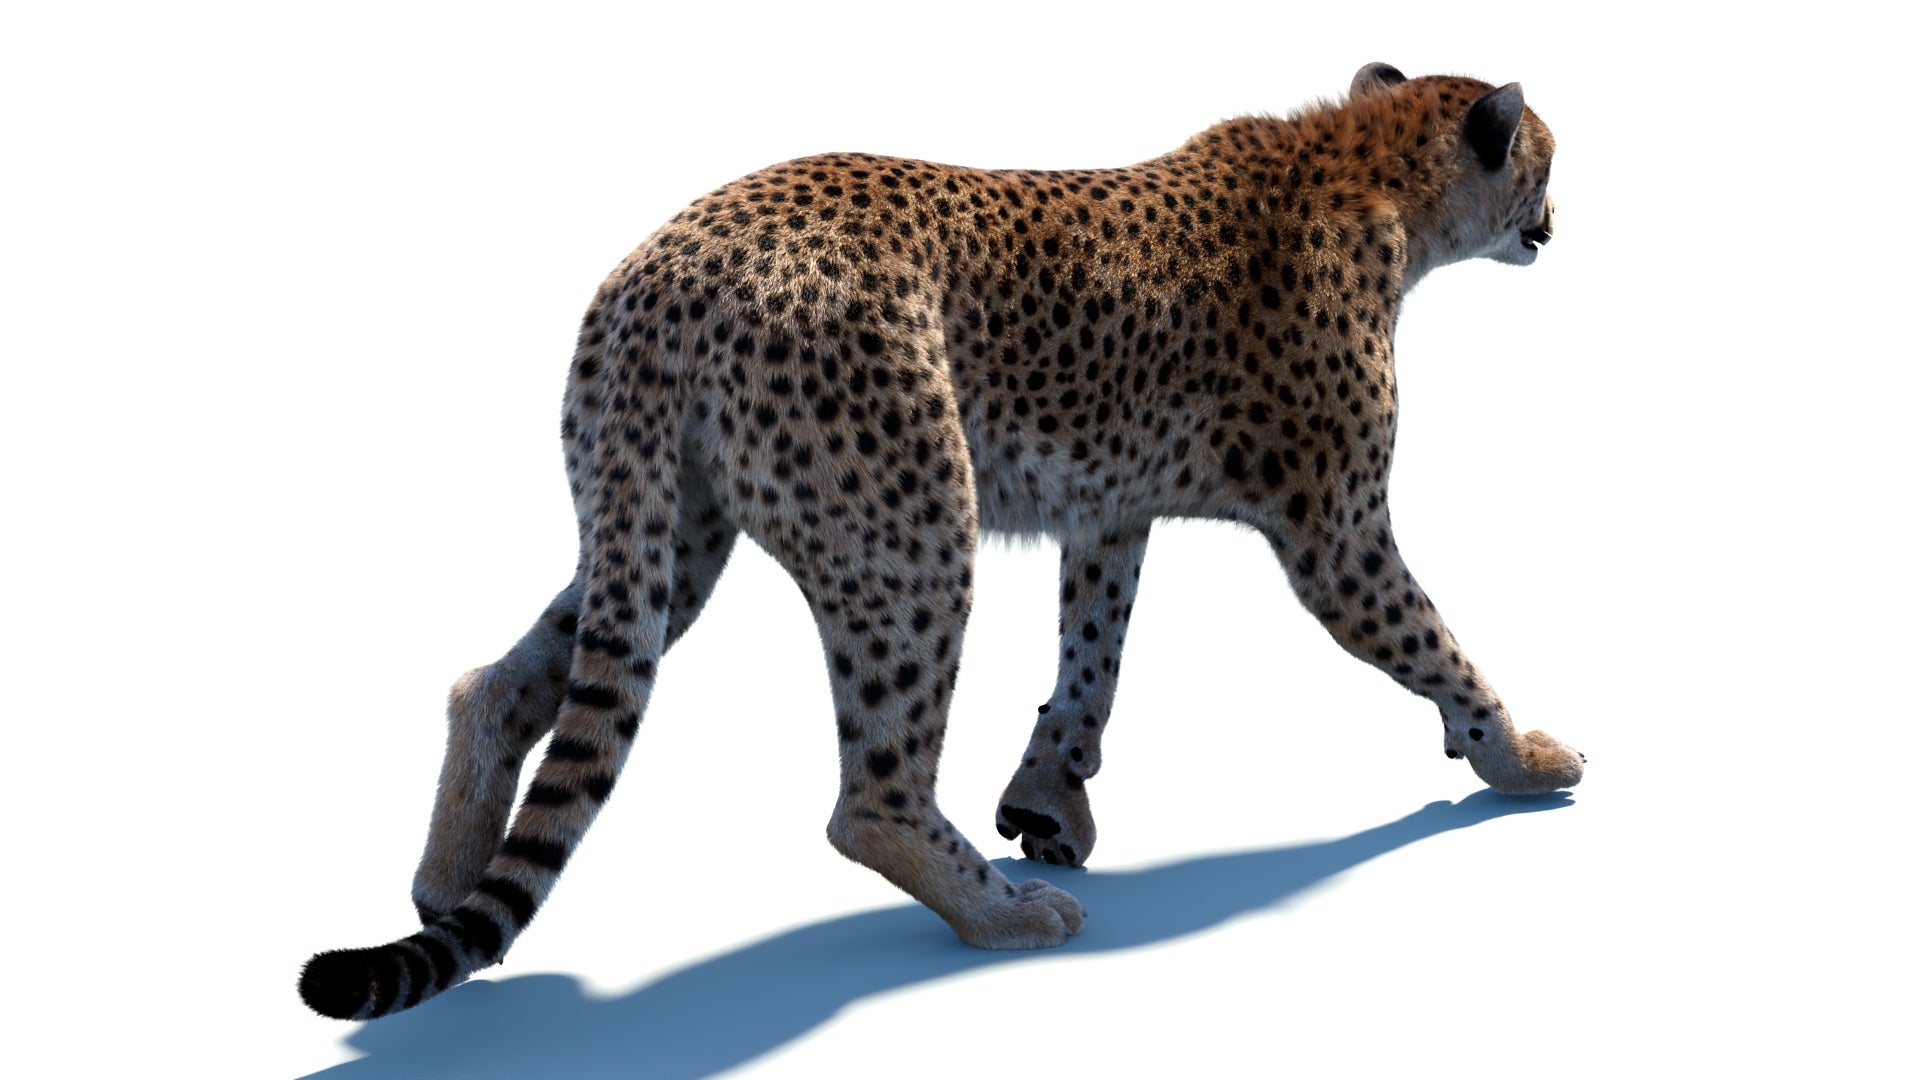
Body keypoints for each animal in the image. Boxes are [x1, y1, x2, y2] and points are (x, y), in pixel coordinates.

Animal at [301, 62, 1580, 1021]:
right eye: (1546, 159)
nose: (1555, 224)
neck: (1370, 169)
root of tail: (669, 263)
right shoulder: (1336, 535)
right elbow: (1439, 644)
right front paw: (1519, 757)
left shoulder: (1106, 511)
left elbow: (1091, 659)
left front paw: (1049, 799)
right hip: (910, 531)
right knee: (868, 793)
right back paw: (1002, 914)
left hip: (670, 535)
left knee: (499, 683)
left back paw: (446, 883)